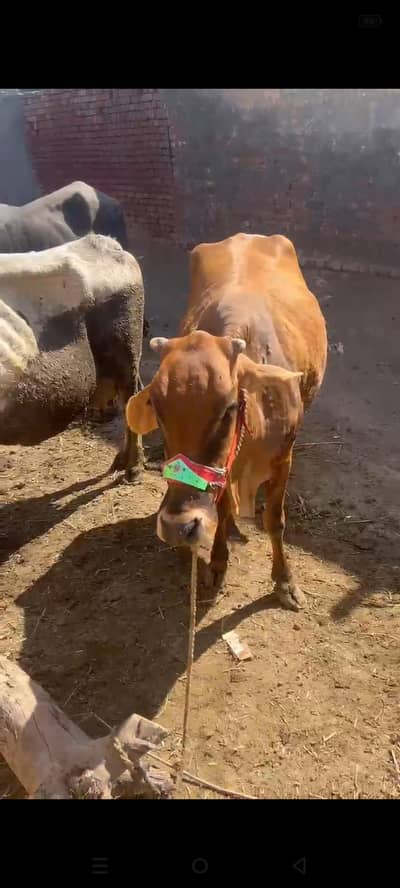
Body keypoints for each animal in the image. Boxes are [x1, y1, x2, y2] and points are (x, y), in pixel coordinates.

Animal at [125, 233, 327, 610]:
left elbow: (274, 520)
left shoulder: (284, 457)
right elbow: (222, 506)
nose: (177, 526)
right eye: (157, 409)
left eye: (229, 408)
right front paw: (218, 563)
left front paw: (284, 581)